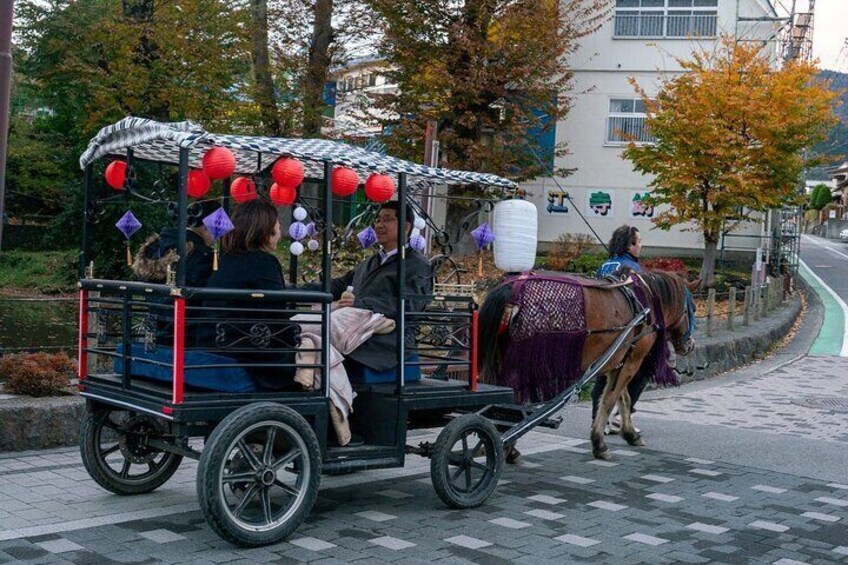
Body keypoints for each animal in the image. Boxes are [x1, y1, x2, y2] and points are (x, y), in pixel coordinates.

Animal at [476, 270, 696, 460]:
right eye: (691, 309)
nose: (690, 345)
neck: (644, 301)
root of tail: (511, 289)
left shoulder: (617, 362)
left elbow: (622, 398)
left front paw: (630, 433)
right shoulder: (632, 361)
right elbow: (609, 400)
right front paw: (599, 443)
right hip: (521, 365)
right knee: (512, 405)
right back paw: (506, 446)